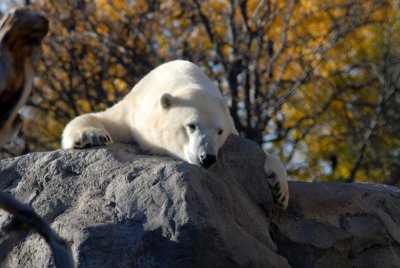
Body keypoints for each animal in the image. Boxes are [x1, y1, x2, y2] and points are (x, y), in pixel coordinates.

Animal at [61, 60, 290, 207]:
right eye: (191, 125)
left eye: (219, 131)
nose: (207, 157)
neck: (181, 77)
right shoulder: (135, 113)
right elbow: (105, 120)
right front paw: (92, 136)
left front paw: (280, 190)